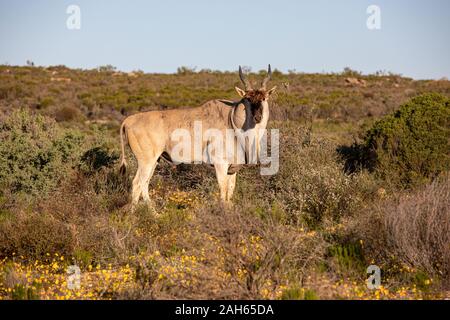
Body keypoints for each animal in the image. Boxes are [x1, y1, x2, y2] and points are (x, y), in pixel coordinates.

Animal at [118, 66, 276, 209]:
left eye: (264, 98)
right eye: (248, 99)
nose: (258, 117)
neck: (231, 121)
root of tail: (128, 120)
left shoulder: (232, 169)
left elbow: (230, 193)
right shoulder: (220, 165)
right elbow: (223, 191)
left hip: (154, 161)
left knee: (144, 184)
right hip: (146, 161)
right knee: (137, 183)